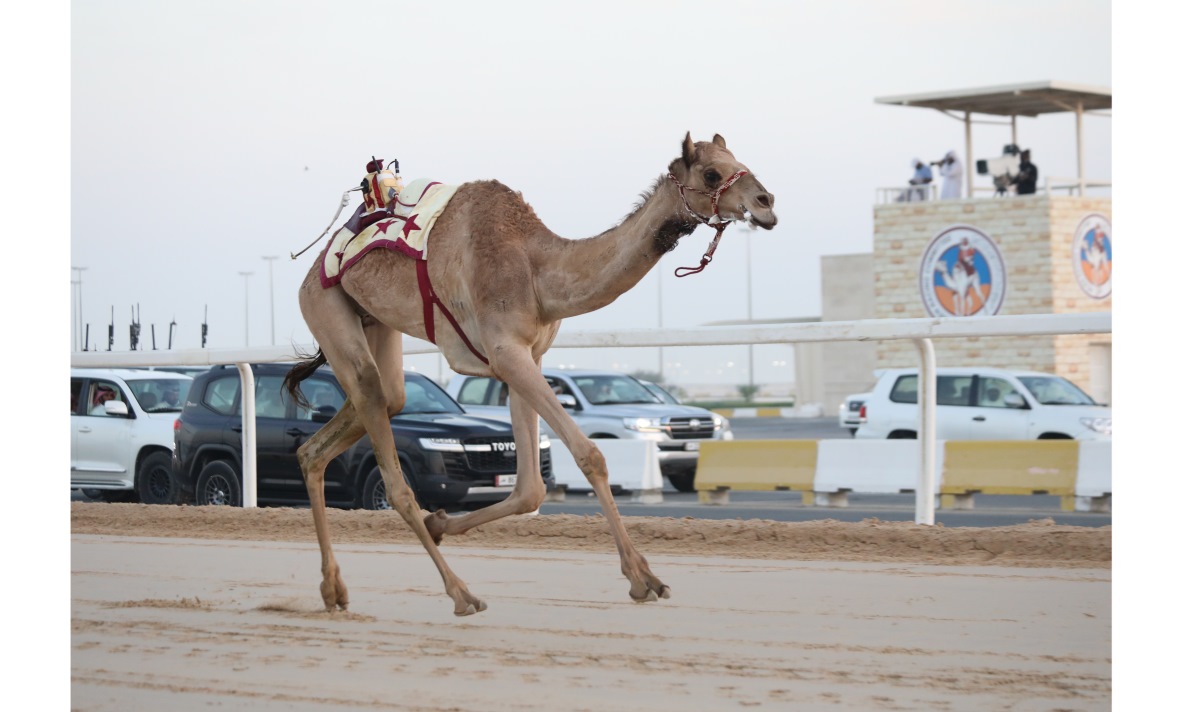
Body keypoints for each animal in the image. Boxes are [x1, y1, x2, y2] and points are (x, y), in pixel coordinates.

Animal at [279, 134, 776, 616]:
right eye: (711, 172)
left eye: (738, 160)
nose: (767, 202)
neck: (538, 272)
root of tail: (315, 264)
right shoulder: (507, 354)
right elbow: (590, 455)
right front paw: (643, 578)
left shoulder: (527, 358)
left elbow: (531, 489)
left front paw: (441, 523)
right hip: (323, 304)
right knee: (392, 465)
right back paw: (460, 594)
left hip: (375, 322)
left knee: (341, 430)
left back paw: (334, 589)